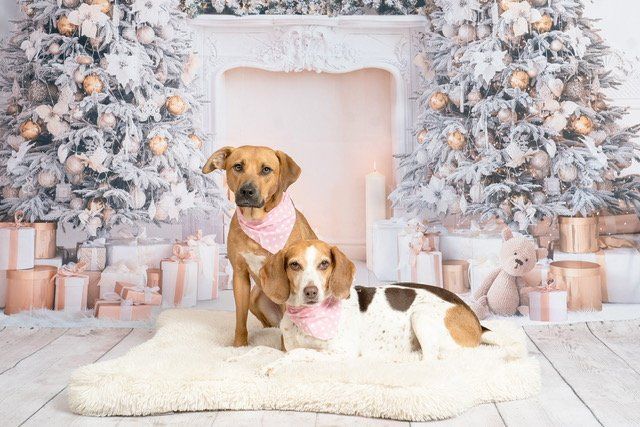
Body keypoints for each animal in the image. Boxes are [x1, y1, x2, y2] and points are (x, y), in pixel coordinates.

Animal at [202, 146, 318, 348]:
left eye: (266, 170)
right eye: (238, 166)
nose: (247, 191)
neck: (257, 221)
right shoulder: (240, 275)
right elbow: (240, 319)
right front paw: (239, 346)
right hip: (255, 297)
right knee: (271, 325)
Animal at [260, 239, 496, 360]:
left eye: (324, 264)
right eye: (294, 265)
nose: (311, 292)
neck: (309, 317)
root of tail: (476, 322)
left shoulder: (342, 352)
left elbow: (301, 352)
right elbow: (276, 350)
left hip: (421, 315)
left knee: (430, 359)